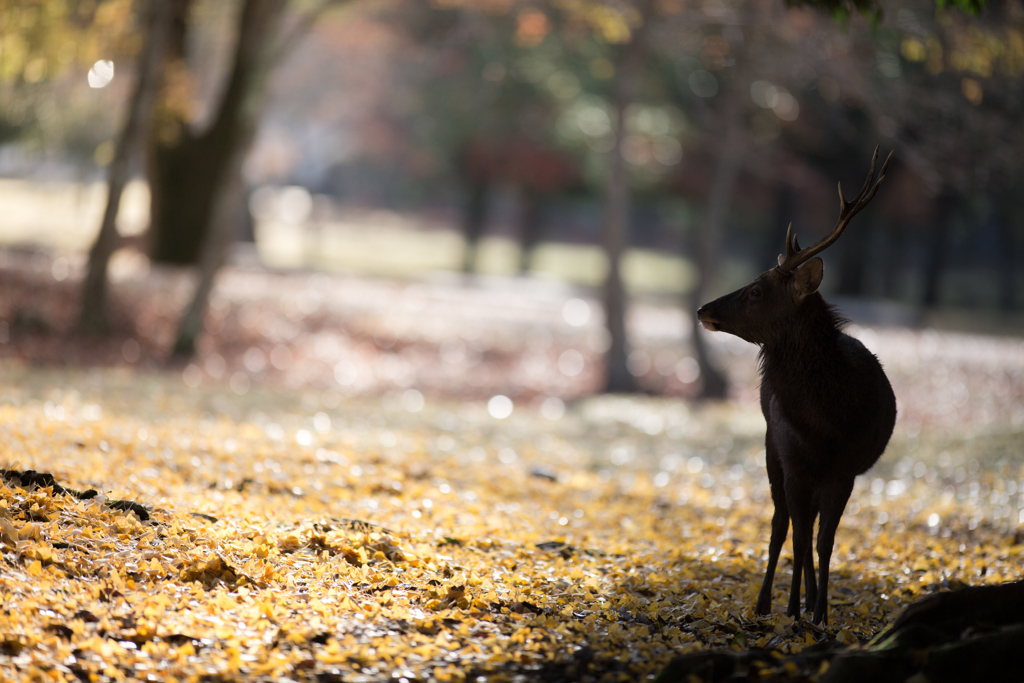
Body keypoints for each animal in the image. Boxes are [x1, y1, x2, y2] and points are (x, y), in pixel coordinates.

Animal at [696, 148, 897, 626]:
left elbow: (825, 542)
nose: (702, 309)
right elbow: (797, 536)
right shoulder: (794, 461)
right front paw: (792, 609)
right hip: (772, 447)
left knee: (804, 531)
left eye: (755, 290)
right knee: (780, 527)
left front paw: (820, 612)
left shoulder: (845, 470)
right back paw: (769, 602)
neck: (828, 421)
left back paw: (806, 601)